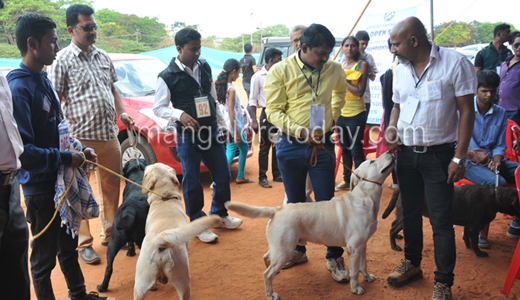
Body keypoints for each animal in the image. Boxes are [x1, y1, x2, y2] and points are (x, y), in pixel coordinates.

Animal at [226, 152, 394, 300]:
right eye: (372, 161)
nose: (391, 152)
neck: (365, 199)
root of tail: (276, 210)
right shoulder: (354, 248)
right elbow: (354, 272)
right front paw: (356, 288)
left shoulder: (362, 245)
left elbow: (363, 266)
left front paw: (368, 277)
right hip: (285, 249)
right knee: (266, 273)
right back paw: (271, 294)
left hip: (280, 246)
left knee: (267, 258)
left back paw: (274, 277)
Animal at [382, 185, 520, 258]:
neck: (495, 197)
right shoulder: (475, 227)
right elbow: (475, 242)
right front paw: (478, 253)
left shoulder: (468, 225)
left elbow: (467, 238)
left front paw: (468, 247)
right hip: (406, 217)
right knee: (392, 230)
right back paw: (394, 246)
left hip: (400, 215)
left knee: (393, 225)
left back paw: (399, 237)